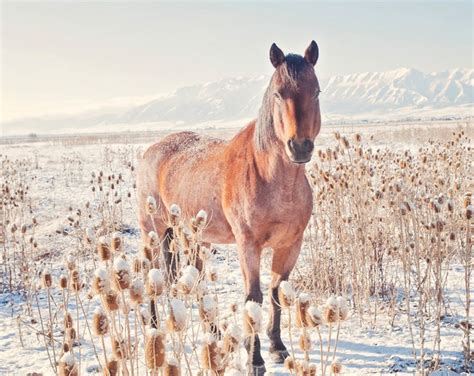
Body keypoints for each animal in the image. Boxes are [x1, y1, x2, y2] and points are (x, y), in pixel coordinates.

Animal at [138, 41, 322, 374]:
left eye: (316, 91)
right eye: (278, 94)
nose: (299, 147)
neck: (274, 180)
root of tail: (151, 151)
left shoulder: (291, 244)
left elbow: (276, 292)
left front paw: (277, 347)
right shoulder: (248, 245)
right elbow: (254, 297)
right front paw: (256, 359)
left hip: (191, 237)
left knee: (195, 282)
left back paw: (215, 334)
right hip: (153, 232)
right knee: (154, 277)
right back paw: (156, 329)